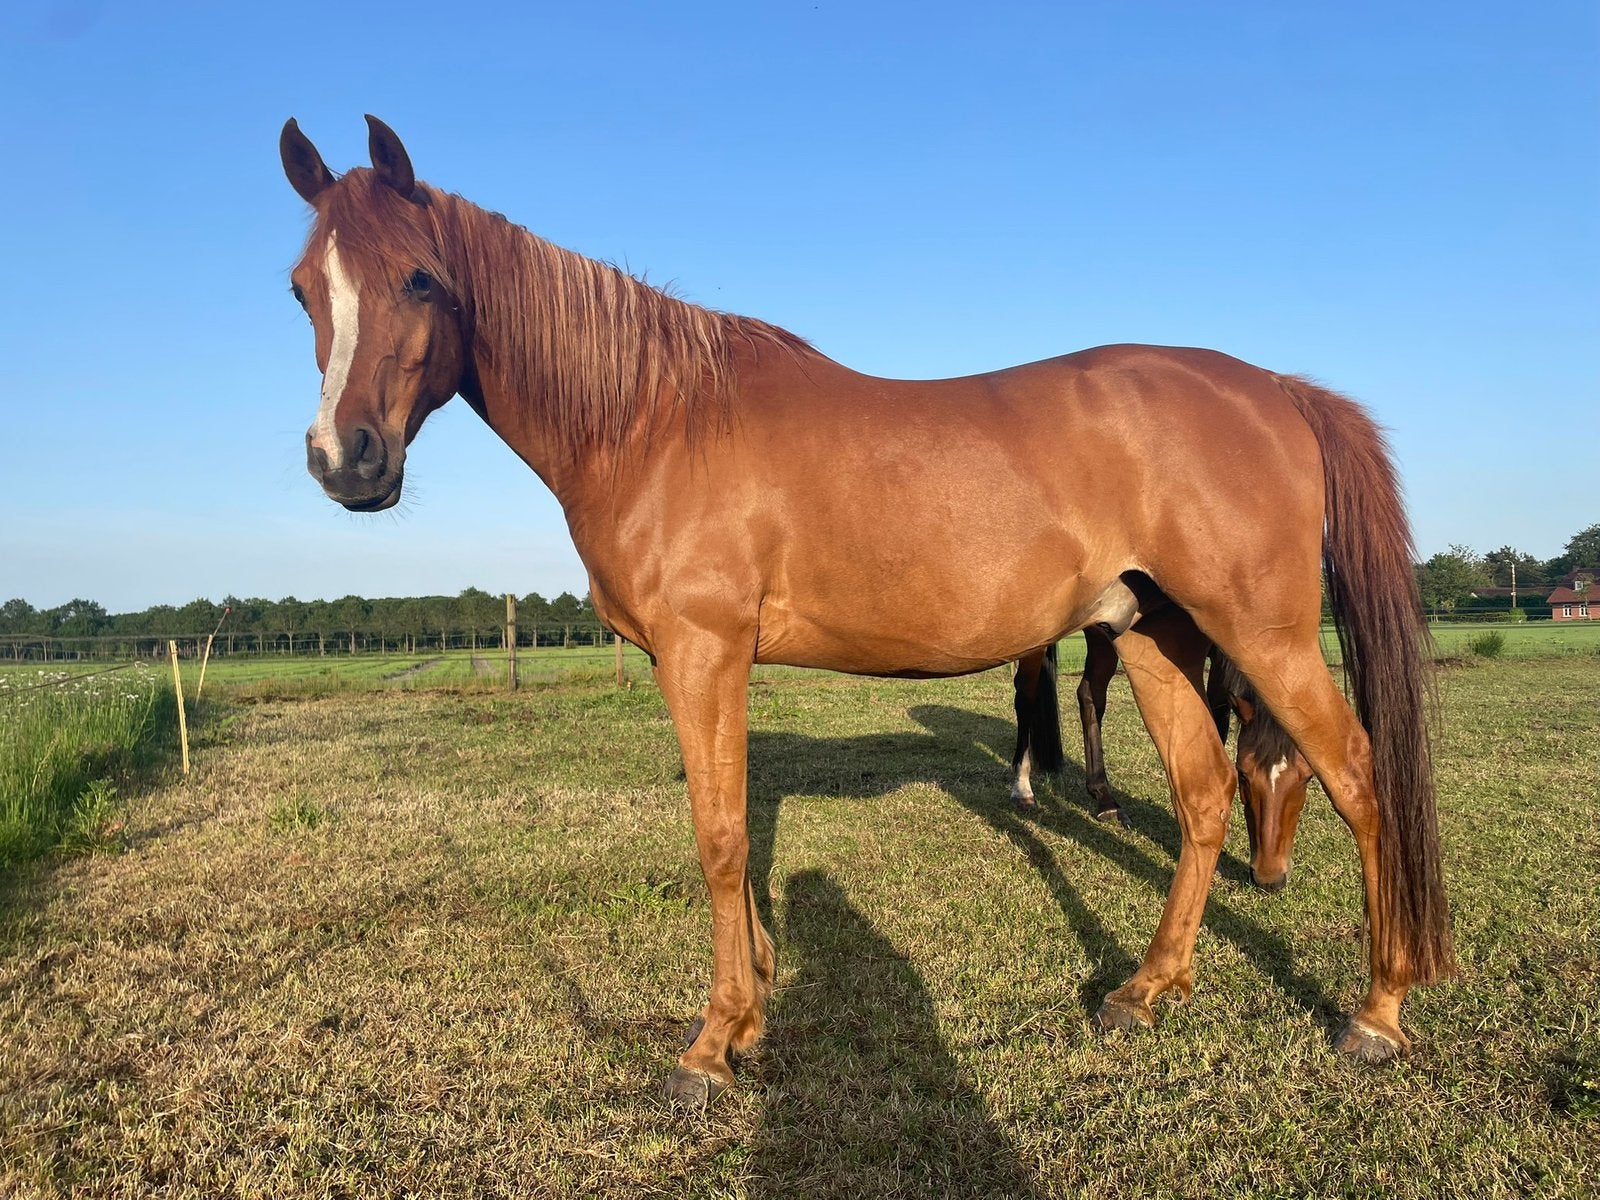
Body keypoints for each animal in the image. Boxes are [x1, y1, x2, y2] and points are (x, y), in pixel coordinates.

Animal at [1010, 634, 1313, 892]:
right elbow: (1213, 721)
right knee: (1026, 694)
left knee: (1090, 694)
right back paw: (1025, 787)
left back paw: (1104, 799)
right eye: (1243, 774)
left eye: (1309, 777)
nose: (1269, 878)